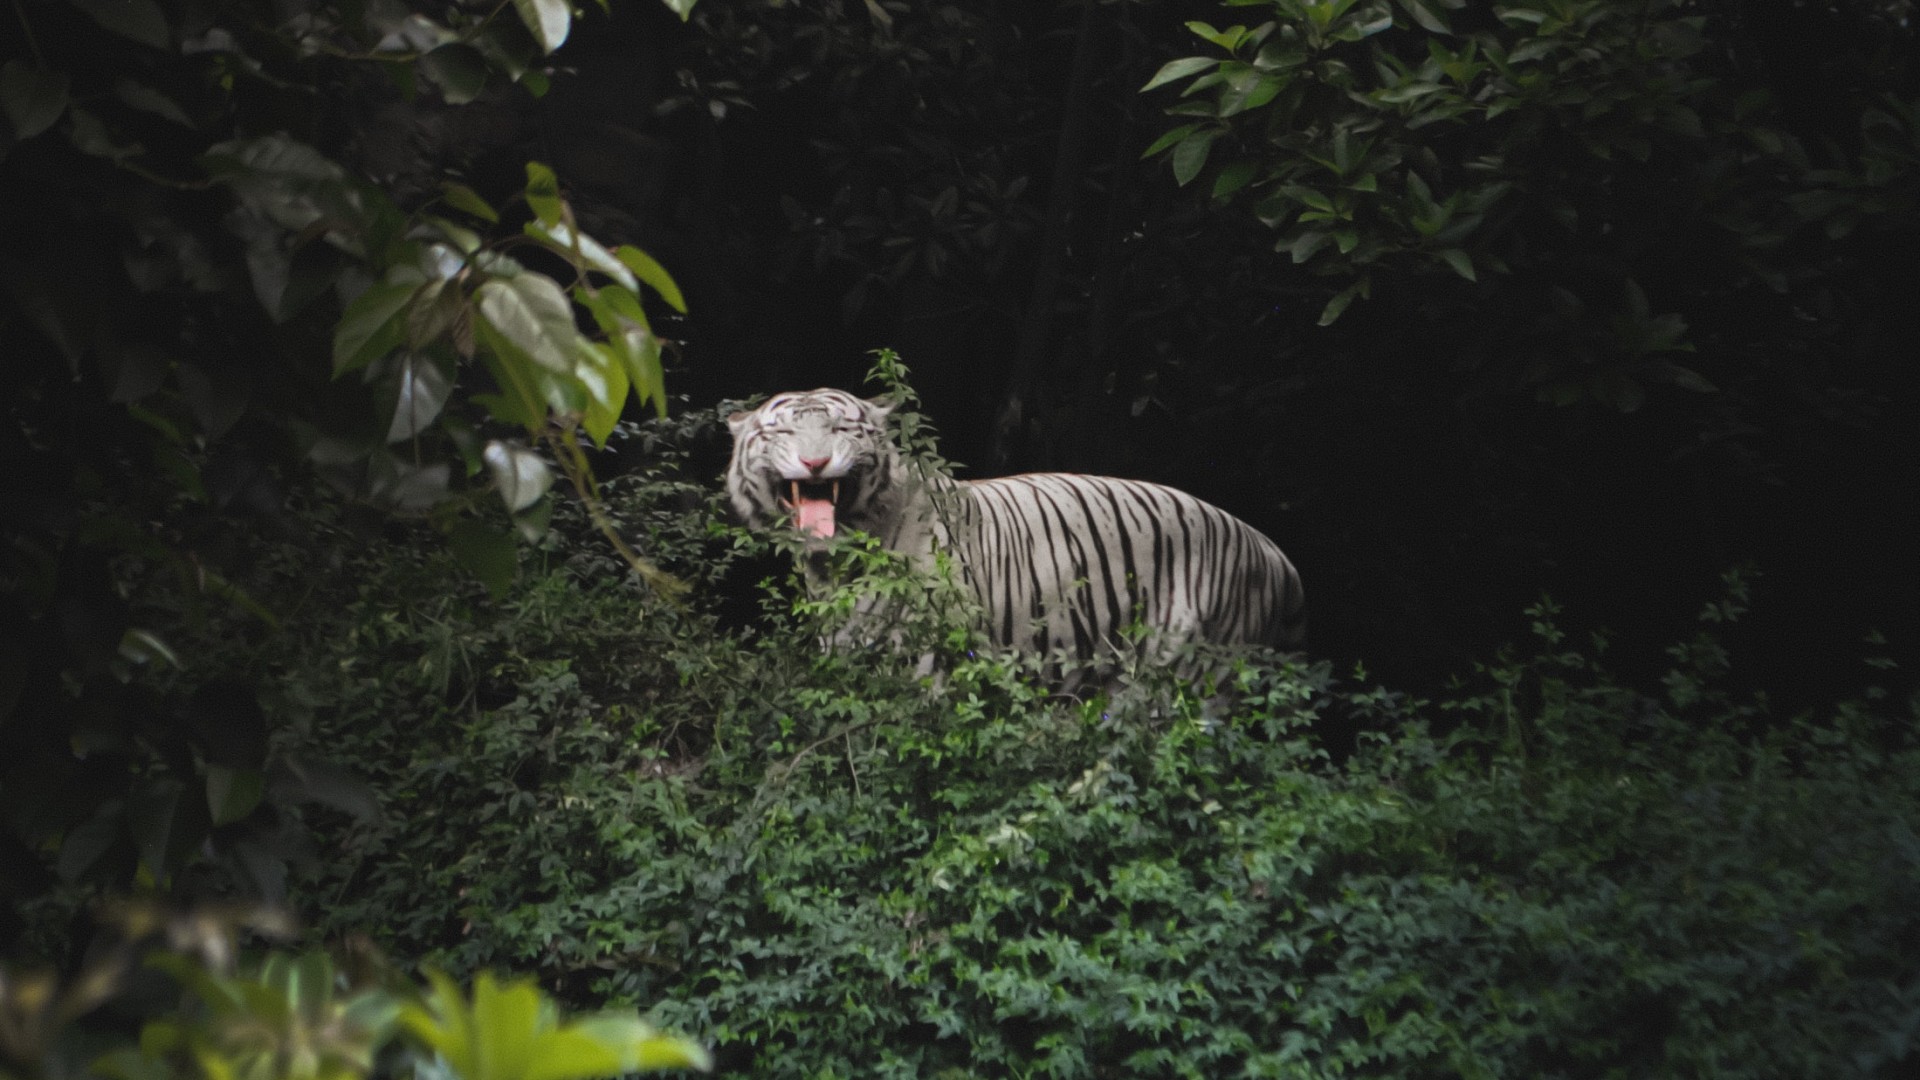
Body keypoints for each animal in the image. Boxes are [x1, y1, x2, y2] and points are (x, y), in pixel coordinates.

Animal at [725, 388, 1306, 663]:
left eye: (841, 429)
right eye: (782, 432)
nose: (816, 463)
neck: (836, 562)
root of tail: (1276, 554)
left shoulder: (931, 652)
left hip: (1195, 660)